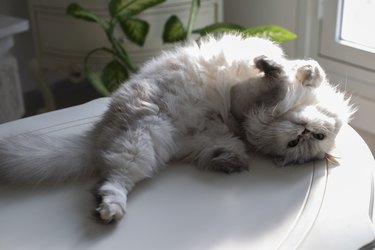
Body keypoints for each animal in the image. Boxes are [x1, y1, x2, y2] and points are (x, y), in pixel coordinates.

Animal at [0, 33, 352, 223]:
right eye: (314, 136)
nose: (303, 133)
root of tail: (96, 136)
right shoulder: (252, 96)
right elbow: (304, 72)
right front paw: (299, 70)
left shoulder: (246, 105)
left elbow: (276, 85)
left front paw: (279, 72)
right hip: (144, 139)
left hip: (143, 146)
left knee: (110, 182)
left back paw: (111, 210)